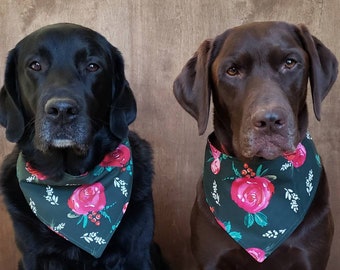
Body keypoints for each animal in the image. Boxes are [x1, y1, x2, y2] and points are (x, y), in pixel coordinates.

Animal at [0, 23, 165, 270]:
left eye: (92, 66)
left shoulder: (138, 253)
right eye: (35, 65)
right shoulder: (32, 256)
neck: (71, 178)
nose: (62, 110)